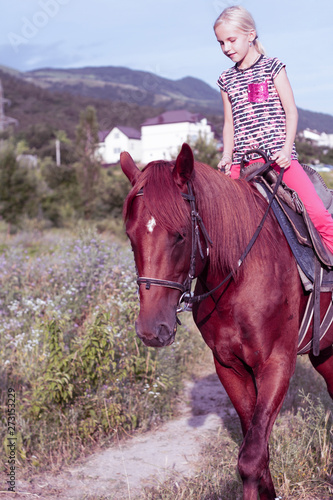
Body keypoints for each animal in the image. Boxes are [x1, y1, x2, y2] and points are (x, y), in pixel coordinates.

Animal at [120, 143, 332, 498]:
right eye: (130, 236)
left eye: (180, 236)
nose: (151, 330)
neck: (239, 274)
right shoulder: (229, 366)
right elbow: (256, 452)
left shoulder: (277, 364)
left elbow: (250, 458)